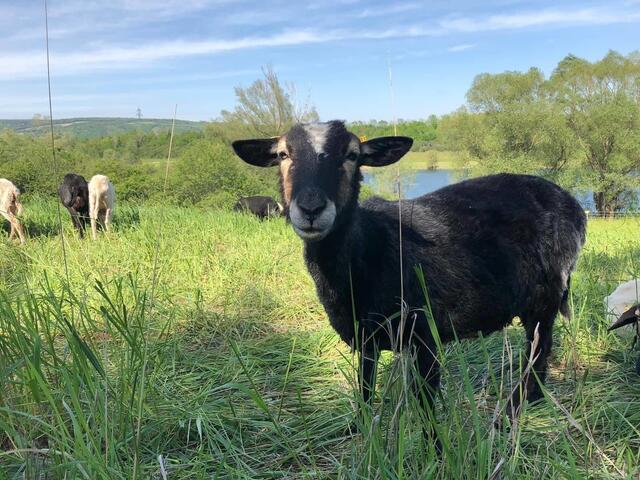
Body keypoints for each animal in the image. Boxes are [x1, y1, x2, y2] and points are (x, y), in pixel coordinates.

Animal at [233, 120, 587, 438]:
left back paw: (510, 412)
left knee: (539, 351)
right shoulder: (367, 337)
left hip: (545, 296)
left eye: (352, 154)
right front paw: (359, 429)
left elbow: (425, 405)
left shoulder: (426, 333)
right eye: (282, 154)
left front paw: (435, 450)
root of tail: (570, 201)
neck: (367, 247)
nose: (310, 208)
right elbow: (364, 387)